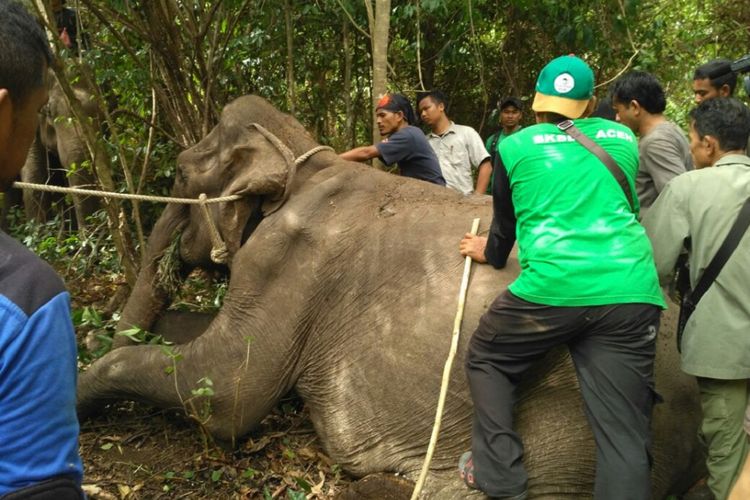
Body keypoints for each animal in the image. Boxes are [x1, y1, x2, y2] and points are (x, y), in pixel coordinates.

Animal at [79, 95, 708, 498]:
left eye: (181, 175)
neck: (302, 160)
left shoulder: (289, 257)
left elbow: (229, 391)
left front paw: (79, 384)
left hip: (580, 416)